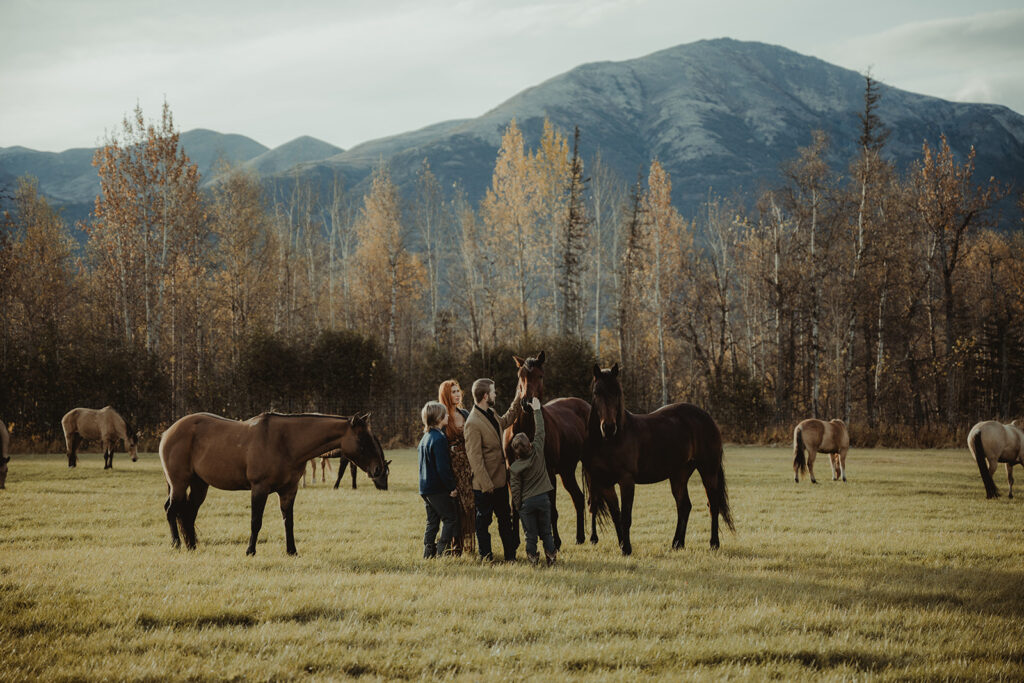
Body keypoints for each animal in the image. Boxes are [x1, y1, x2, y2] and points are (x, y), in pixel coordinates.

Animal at [159, 411, 391, 557]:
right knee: (171, 510)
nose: (378, 469)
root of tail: (168, 432)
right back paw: (176, 544)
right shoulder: (259, 488)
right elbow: (256, 521)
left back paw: (191, 545)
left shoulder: (289, 490)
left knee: (188, 513)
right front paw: (250, 551)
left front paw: (292, 551)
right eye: (363, 440)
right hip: (179, 483)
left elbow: (289, 522)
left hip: (199, 485)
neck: (285, 442)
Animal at [501, 350, 598, 548]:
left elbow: (552, 509)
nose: (526, 403)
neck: (526, 428)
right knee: (578, 498)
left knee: (592, 500)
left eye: (540, 376)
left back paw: (592, 537)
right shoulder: (510, 472)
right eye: (520, 376)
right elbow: (515, 507)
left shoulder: (549, 472)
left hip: (587, 467)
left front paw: (556, 542)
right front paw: (515, 540)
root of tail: (585, 406)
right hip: (567, 471)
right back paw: (579, 537)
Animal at [581, 362, 733, 557]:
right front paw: (622, 546)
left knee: (712, 504)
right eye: (596, 392)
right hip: (679, 475)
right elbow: (616, 516)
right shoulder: (605, 483)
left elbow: (626, 517)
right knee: (684, 506)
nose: (608, 427)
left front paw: (627, 549)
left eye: (616, 392)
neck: (611, 441)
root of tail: (707, 417)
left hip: (708, 470)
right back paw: (677, 543)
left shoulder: (626, 480)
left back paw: (713, 543)